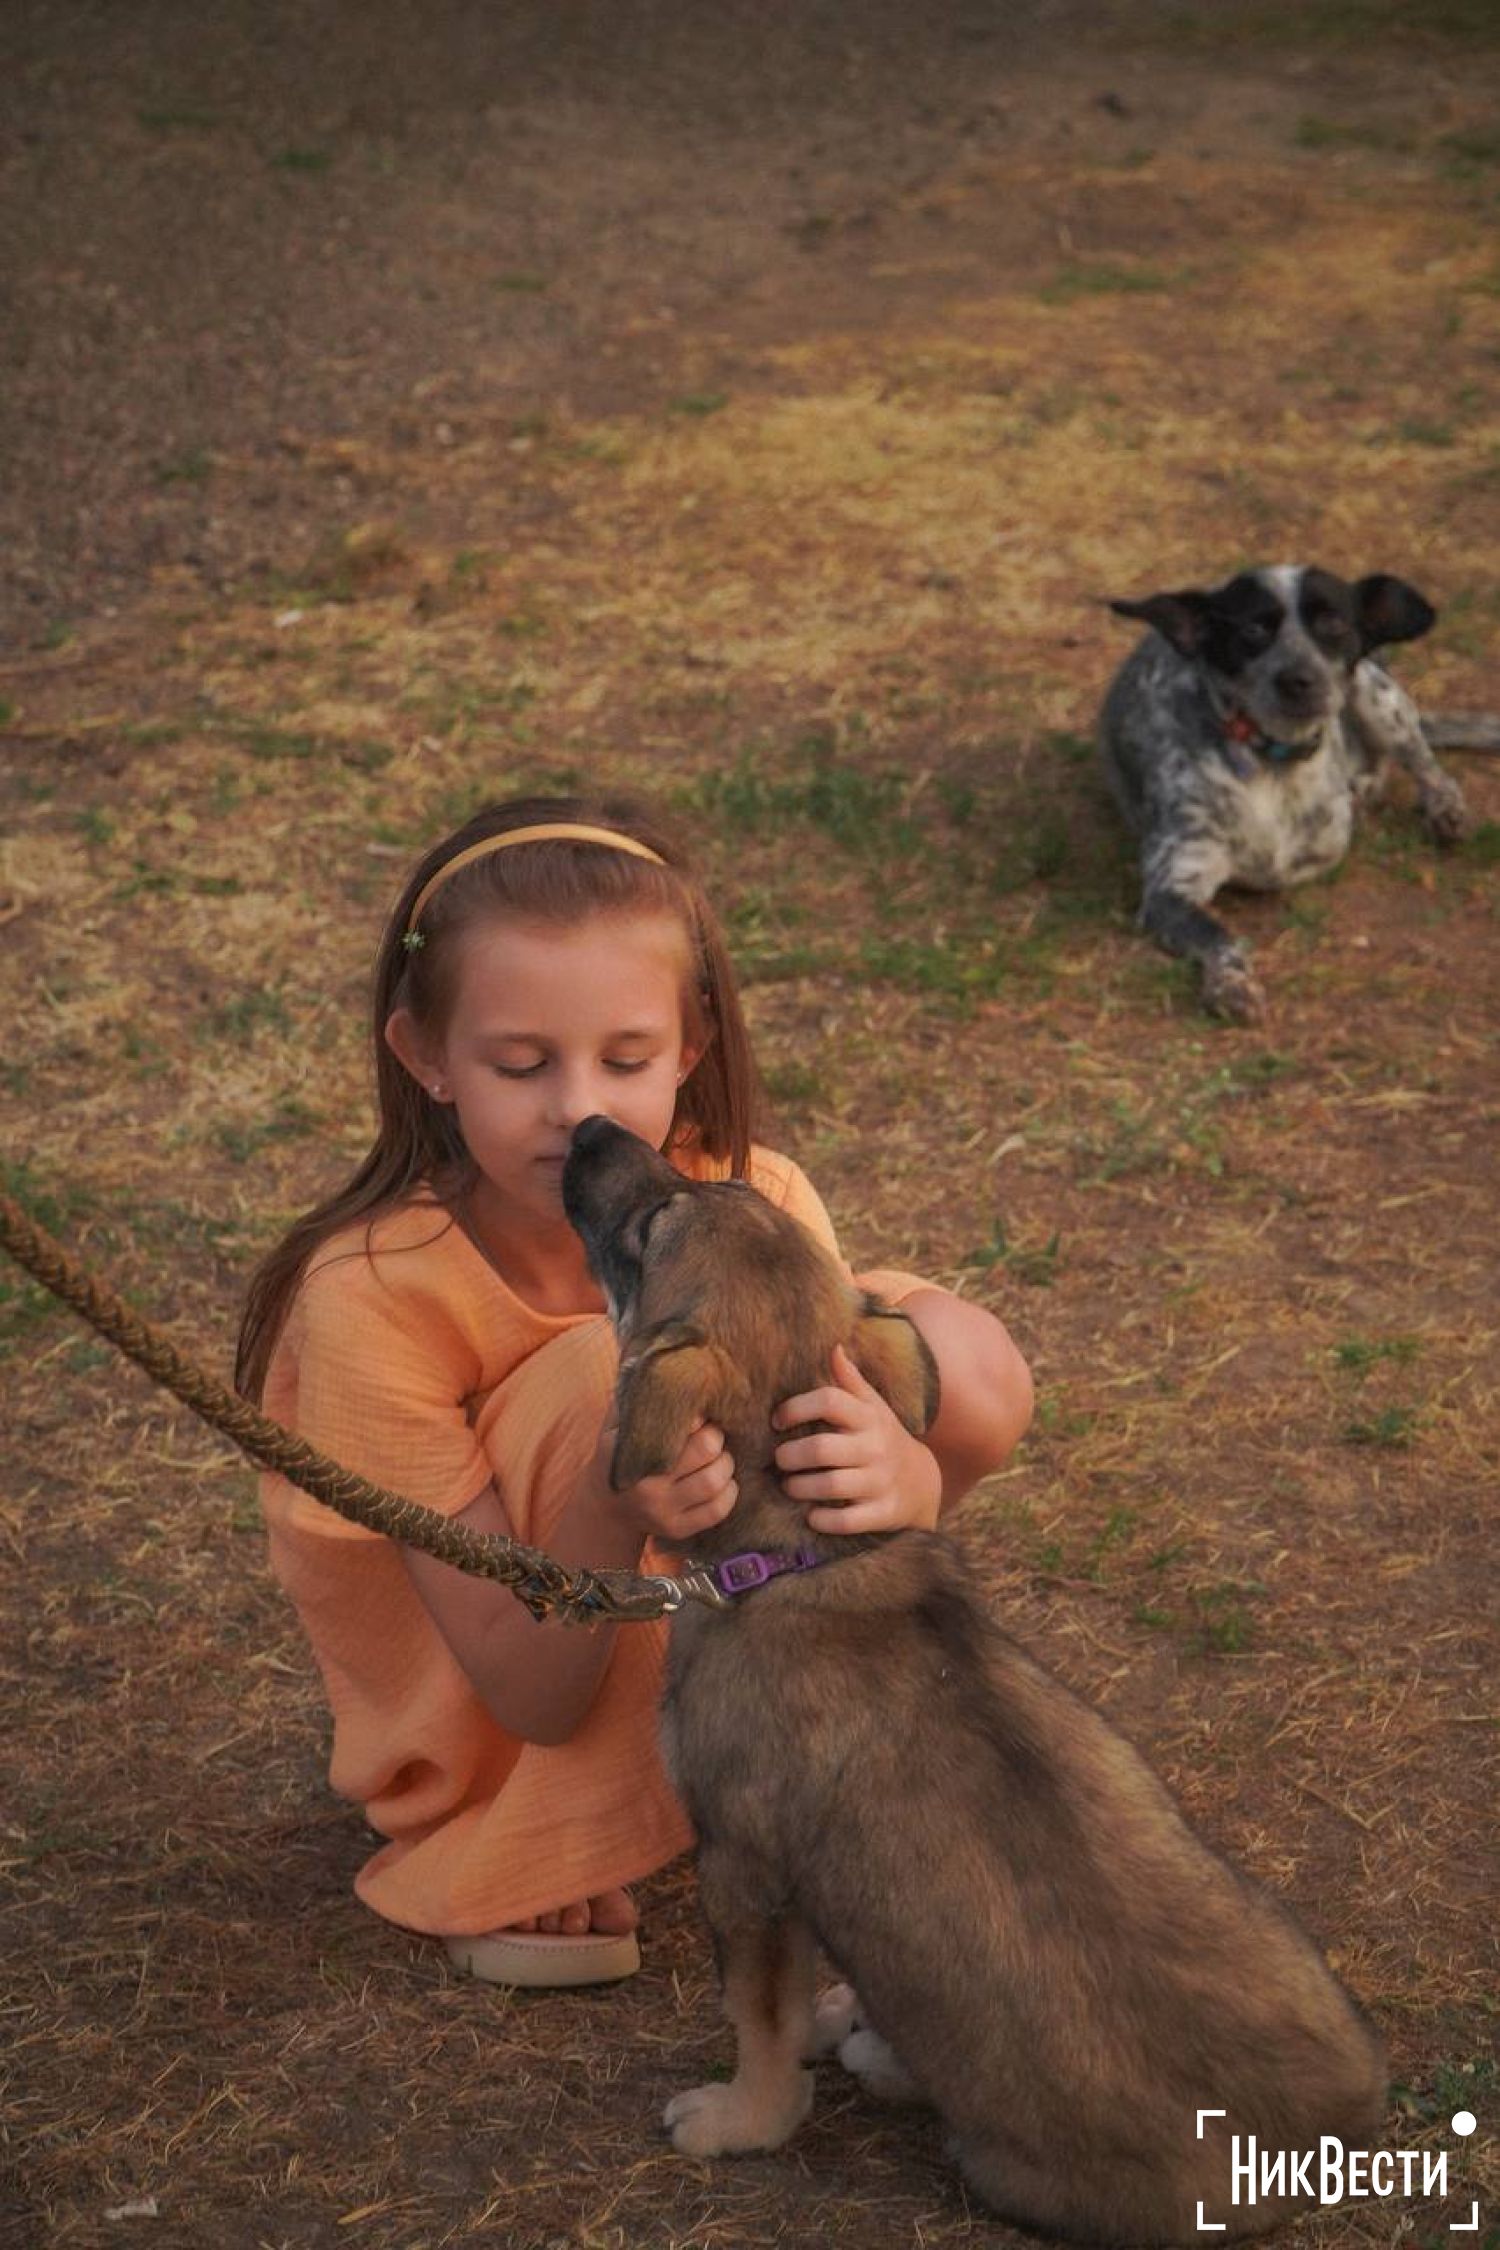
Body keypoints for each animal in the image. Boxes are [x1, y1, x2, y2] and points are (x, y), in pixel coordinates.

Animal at [566, 1116, 1394, 2241]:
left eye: (653, 1226)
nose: (590, 1128)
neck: (801, 1554)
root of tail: (1317, 2154)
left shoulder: (743, 1870)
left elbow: (760, 2022)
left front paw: (742, 2120)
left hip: (994, 2153)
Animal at [1097, 567, 1493, 1026]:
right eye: (1252, 629)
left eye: (1333, 622)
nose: (1297, 679)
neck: (1274, 762)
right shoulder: (1172, 888)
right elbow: (1219, 937)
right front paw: (1232, 984)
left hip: (1377, 695)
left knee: (1423, 761)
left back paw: (1442, 808)